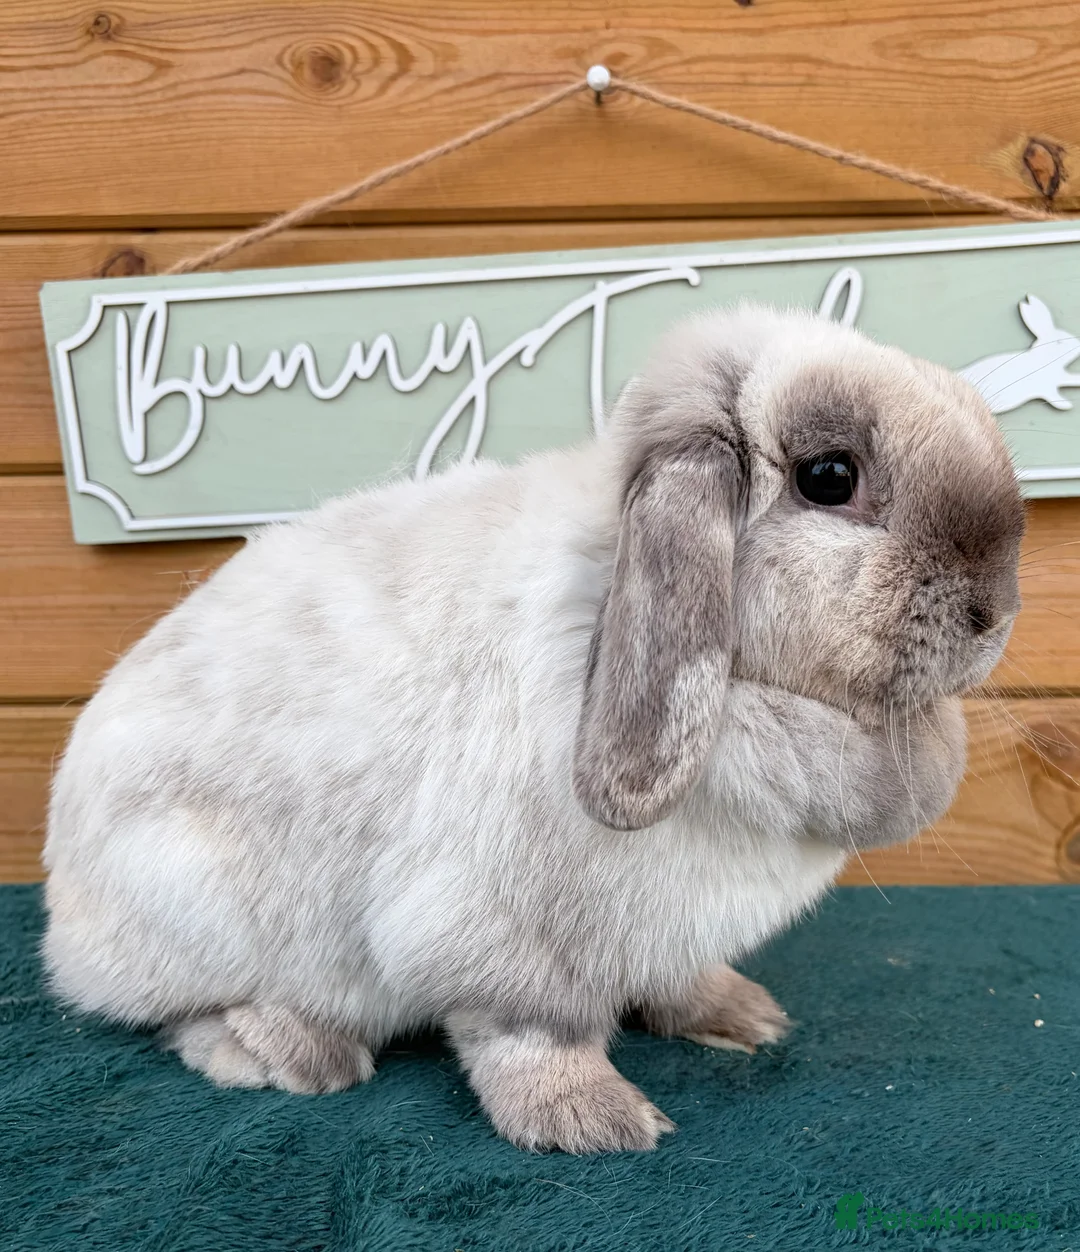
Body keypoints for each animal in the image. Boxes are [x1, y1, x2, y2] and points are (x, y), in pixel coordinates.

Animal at [42, 304, 1024, 1154]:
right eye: (830, 477)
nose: (995, 613)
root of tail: (64, 907)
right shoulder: (500, 938)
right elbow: (529, 1033)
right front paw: (591, 1120)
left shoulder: (660, 936)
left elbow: (676, 979)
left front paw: (739, 1016)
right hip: (196, 904)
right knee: (170, 1012)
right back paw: (289, 1051)